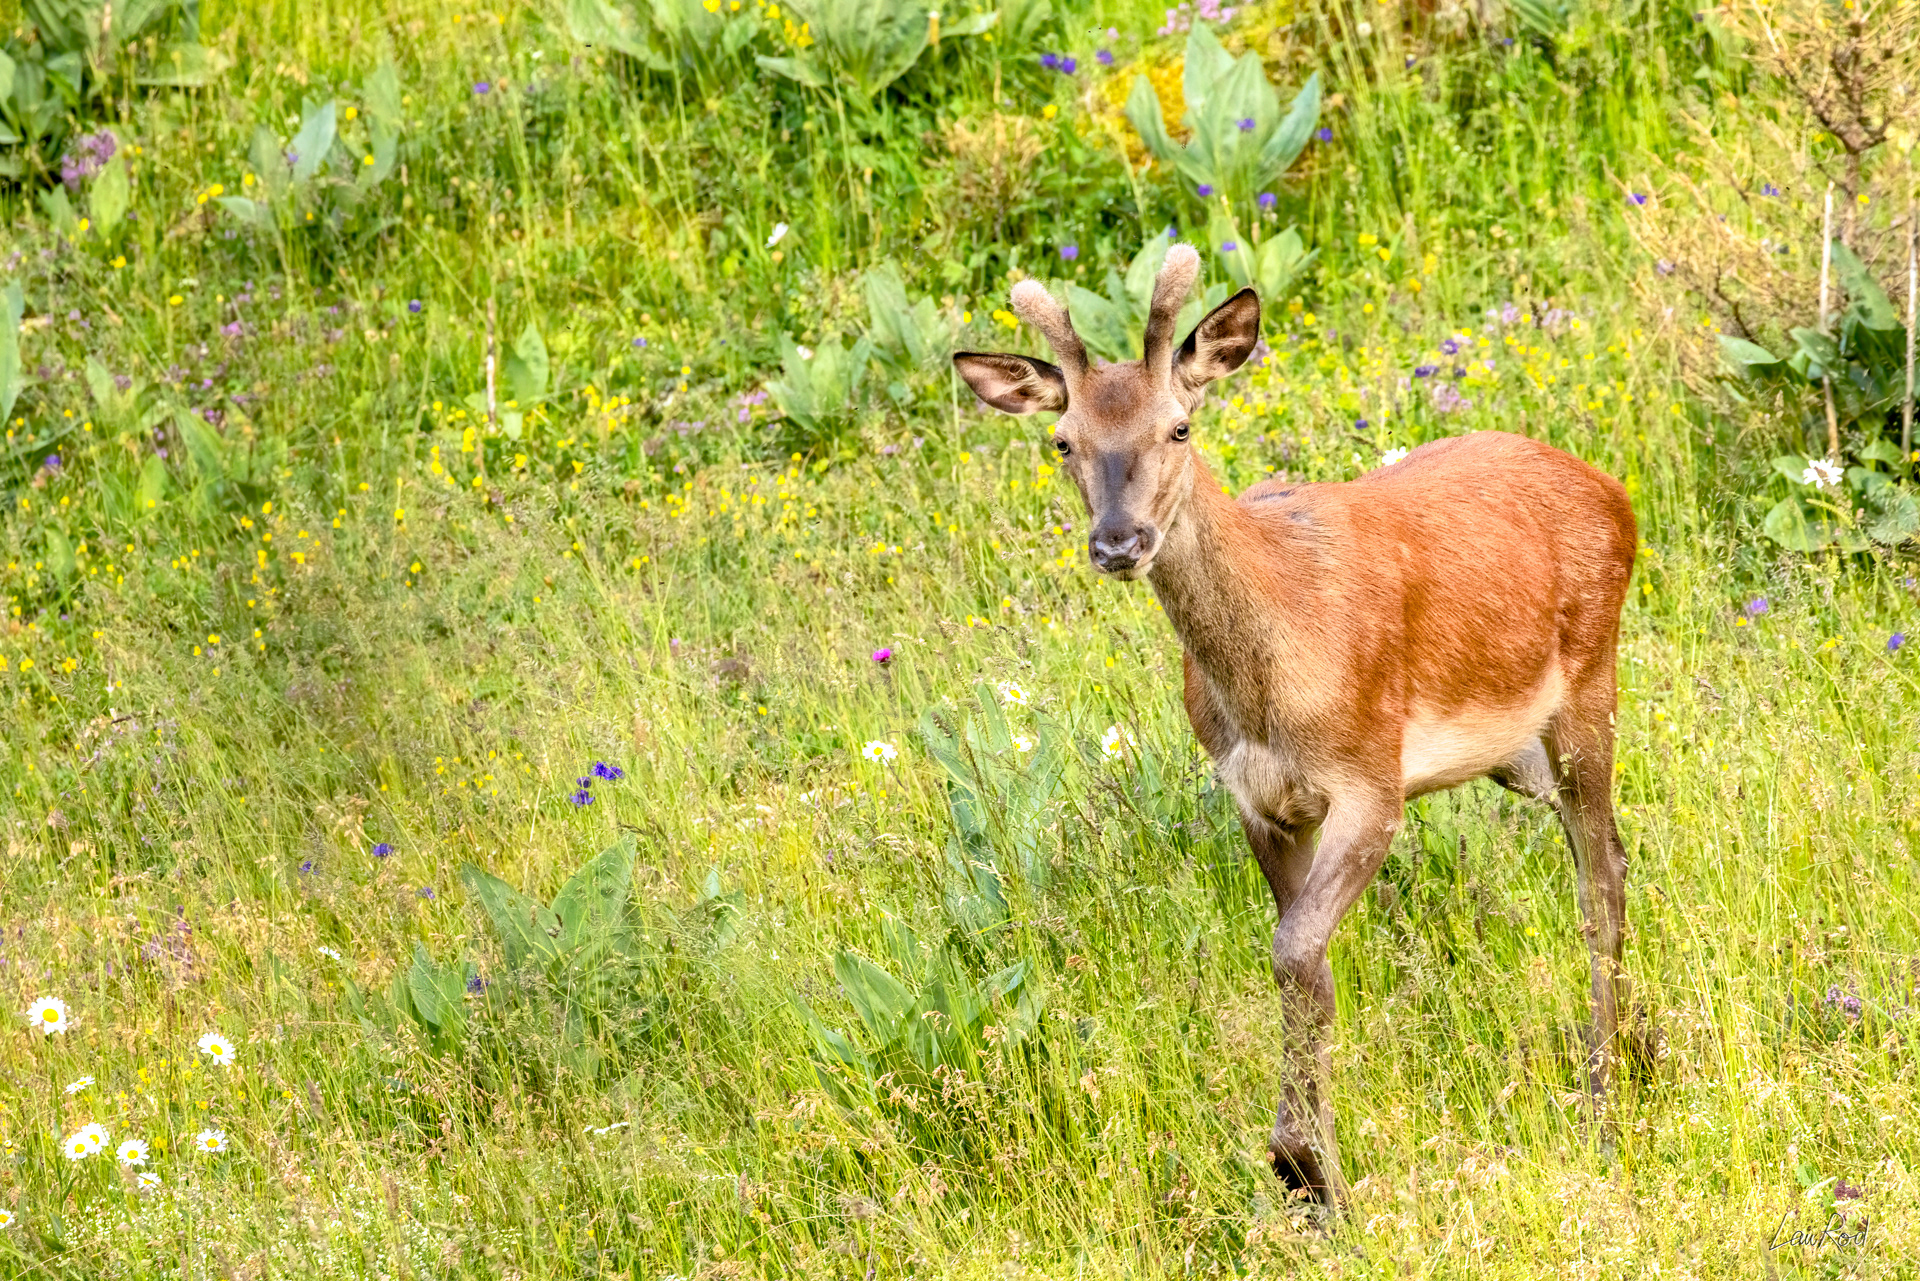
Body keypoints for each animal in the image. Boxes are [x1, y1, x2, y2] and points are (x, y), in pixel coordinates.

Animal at [952, 244, 1636, 1211]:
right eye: (1063, 441)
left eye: (1179, 427)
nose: (1119, 542)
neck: (1270, 685)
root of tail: (1617, 494)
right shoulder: (1259, 797)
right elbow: (1302, 964)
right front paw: (1311, 1176)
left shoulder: (1371, 779)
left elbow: (1295, 954)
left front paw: (1304, 1167)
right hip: (1518, 753)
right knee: (1607, 853)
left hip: (1588, 683)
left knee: (1601, 874)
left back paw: (1607, 1094)